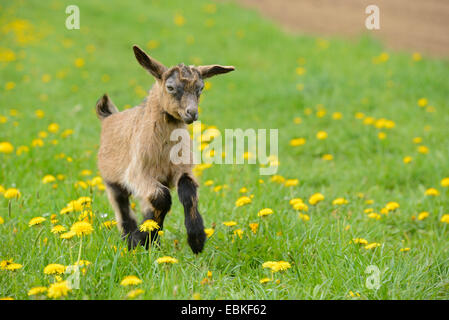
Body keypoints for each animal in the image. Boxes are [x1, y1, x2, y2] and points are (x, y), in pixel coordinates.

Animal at [95, 45, 234, 255]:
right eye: (170, 87)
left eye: (200, 88)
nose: (192, 113)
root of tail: (109, 116)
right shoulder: (138, 173)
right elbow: (161, 198)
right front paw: (143, 239)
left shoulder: (181, 169)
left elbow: (187, 191)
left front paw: (196, 239)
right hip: (112, 179)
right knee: (122, 208)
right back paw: (131, 239)